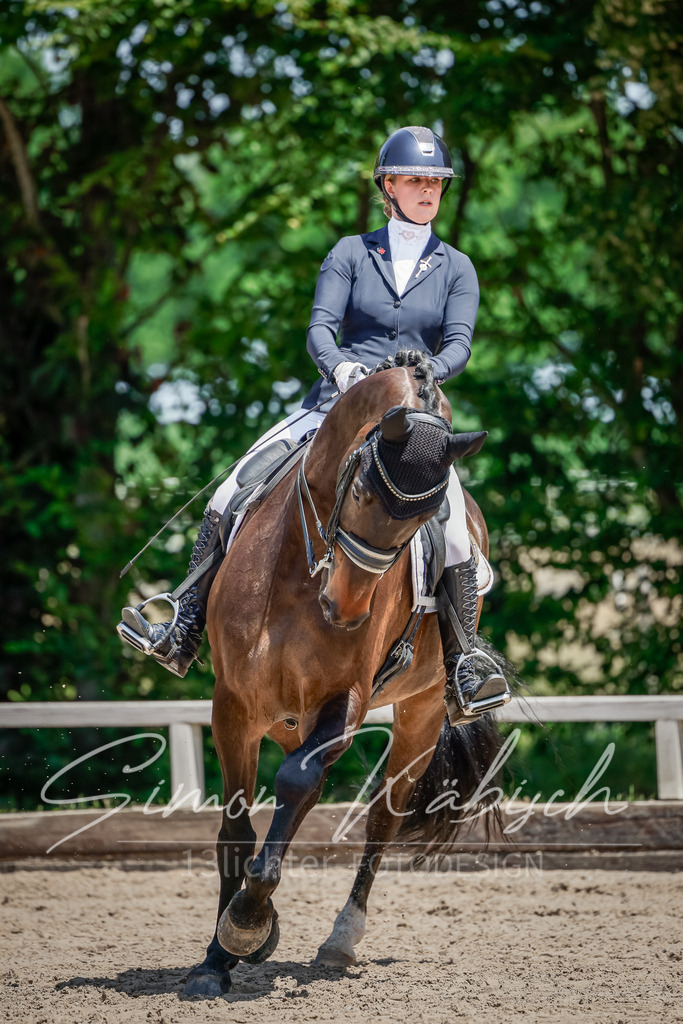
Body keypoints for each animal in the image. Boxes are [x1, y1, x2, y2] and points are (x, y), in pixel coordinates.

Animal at [185, 352, 503, 998]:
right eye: (357, 489)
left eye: (431, 515)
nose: (347, 610)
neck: (299, 574)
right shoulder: (233, 704)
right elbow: (236, 827)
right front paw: (217, 960)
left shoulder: (345, 701)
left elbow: (297, 784)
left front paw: (247, 925)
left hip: (421, 709)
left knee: (381, 816)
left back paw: (339, 938)